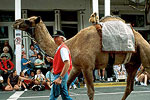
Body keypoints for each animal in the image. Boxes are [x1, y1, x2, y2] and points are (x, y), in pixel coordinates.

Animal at [12, 15, 150, 100]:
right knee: (129, 87)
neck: (72, 45)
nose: (15, 22)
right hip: (132, 63)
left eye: (28, 20)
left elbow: (90, 92)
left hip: (145, 55)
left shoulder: (87, 67)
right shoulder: (76, 67)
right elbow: (66, 86)